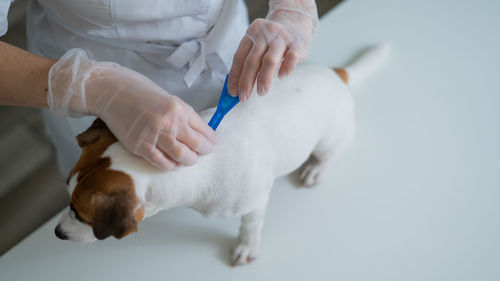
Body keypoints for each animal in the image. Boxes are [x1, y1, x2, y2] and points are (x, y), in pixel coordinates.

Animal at [55, 43, 390, 264]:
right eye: (67, 197)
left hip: (331, 137)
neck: (193, 167)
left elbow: (251, 224)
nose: (57, 233)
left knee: (329, 153)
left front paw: (246, 245)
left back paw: (316, 167)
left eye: (80, 214)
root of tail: (335, 74)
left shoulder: (255, 199)